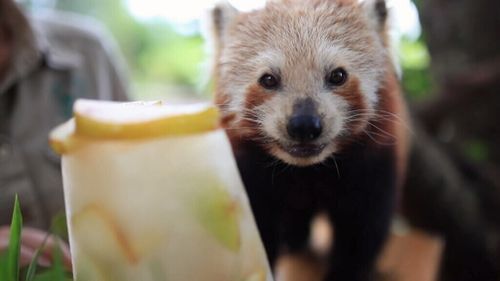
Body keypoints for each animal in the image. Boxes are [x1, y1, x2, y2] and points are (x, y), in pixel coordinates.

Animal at [209, 0, 408, 278]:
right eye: (268, 79)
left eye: (337, 75)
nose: (304, 125)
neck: (307, 171)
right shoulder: (249, 170)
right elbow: (258, 229)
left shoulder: (373, 163)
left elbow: (363, 229)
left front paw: (347, 272)